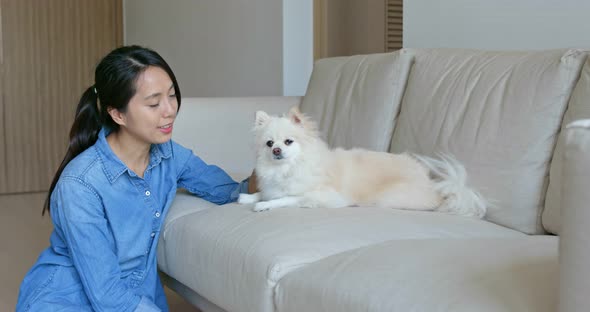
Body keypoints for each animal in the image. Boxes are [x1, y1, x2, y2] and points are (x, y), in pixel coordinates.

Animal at [238, 106, 488, 218]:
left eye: (289, 142)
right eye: (269, 143)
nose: (277, 150)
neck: (286, 169)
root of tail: (434, 187)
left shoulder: (323, 196)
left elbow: (288, 198)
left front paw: (264, 205)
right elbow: (266, 192)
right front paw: (248, 197)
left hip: (389, 198)